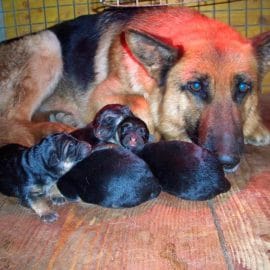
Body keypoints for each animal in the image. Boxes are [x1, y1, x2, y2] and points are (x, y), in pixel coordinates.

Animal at [0, 6, 270, 173]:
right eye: (196, 87)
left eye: (243, 87)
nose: (227, 161)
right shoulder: (102, 94)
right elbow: (143, 105)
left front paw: (255, 127)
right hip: (47, 43)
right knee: (11, 122)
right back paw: (51, 129)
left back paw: (61, 118)